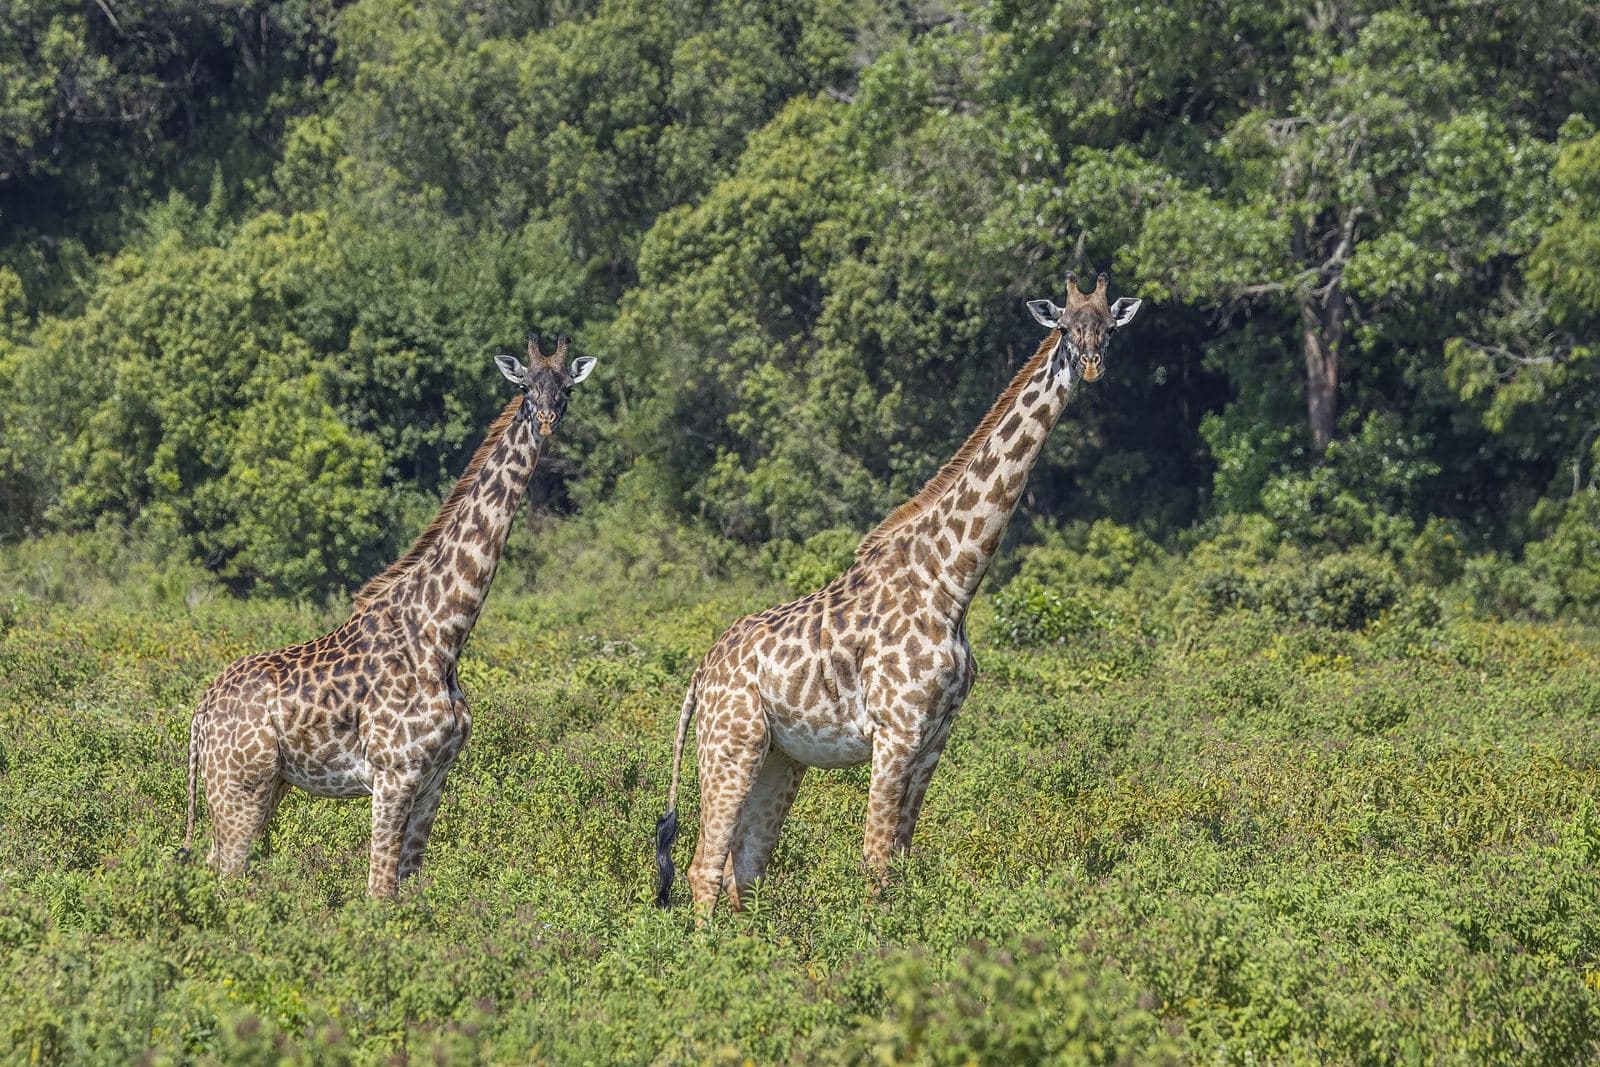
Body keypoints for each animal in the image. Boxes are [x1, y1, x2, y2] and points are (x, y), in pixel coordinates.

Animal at [182, 334, 596, 897]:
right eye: (526, 388)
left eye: (567, 388)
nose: (549, 421)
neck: (441, 639)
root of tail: (201, 712)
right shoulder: (394, 773)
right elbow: (378, 891)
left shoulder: (434, 779)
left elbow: (409, 888)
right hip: (238, 785)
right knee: (225, 871)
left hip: (266, 786)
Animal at [653, 272, 1141, 913]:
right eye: (1063, 326)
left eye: (1108, 328)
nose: (1090, 365)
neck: (951, 584)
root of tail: (699, 673)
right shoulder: (895, 731)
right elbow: (876, 863)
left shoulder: (934, 737)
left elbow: (900, 861)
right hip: (729, 745)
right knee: (703, 870)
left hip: (779, 757)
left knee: (744, 870)